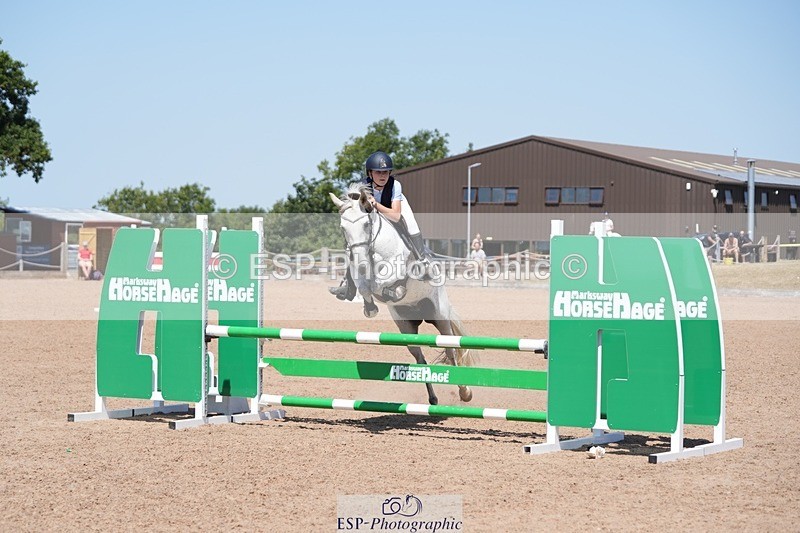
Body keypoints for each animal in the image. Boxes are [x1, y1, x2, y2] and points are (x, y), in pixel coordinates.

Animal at [329, 183, 476, 405]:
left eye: (366, 225)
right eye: (343, 228)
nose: (360, 260)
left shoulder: (396, 269)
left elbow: (381, 284)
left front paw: (392, 291)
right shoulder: (359, 275)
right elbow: (364, 287)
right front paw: (370, 307)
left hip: (440, 316)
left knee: (451, 351)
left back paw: (464, 392)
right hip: (406, 326)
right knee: (420, 358)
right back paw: (433, 399)